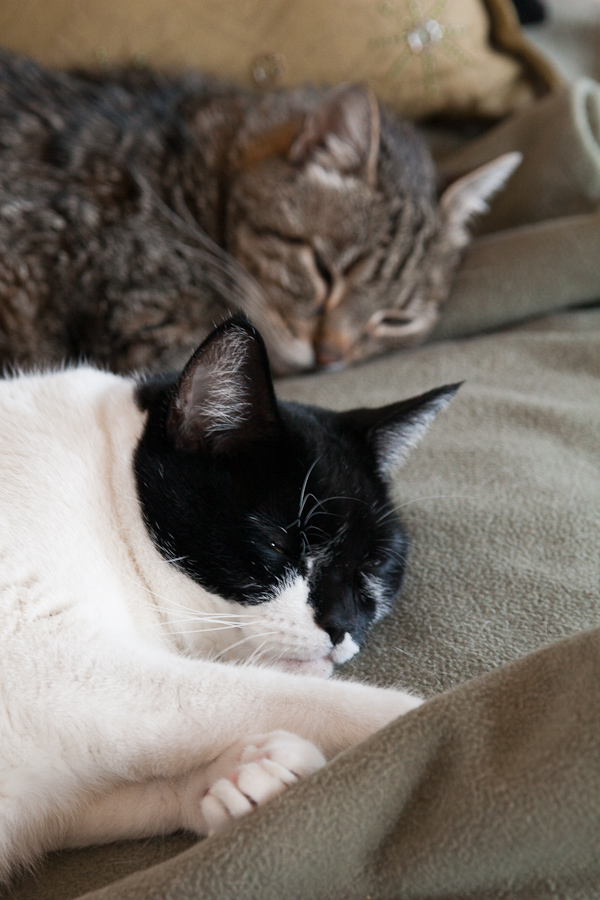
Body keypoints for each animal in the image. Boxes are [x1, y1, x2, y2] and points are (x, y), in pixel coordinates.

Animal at [0, 316, 460, 880]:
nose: (341, 626)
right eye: (279, 544)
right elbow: (277, 697)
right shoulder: (50, 662)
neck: (105, 497)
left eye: (373, 566)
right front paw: (433, 714)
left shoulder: (43, 796)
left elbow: (88, 799)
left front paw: (234, 781)